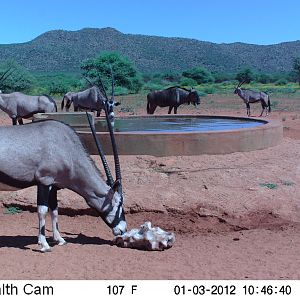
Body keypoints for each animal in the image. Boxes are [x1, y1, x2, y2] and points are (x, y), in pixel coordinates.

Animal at [0, 109, 126, 252]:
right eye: (118, 202)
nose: (123, 230)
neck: (68, 149)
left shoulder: (54, 185)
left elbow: (54, 210)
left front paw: (59, 239)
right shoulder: (44, 181)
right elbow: (42, 211)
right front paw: (44, 245)